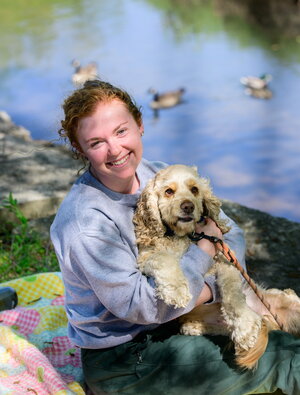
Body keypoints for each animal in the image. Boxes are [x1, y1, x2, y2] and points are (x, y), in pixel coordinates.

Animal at [133, 166, 300, 370]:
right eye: (168, 191)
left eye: (194, 189)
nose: (188, 206)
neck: (184, 236)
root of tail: (268, 317)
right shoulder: (146, 257)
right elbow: (164, 259)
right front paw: (176, 291)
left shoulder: (223, 260)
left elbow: (232, 293)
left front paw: (245, 328)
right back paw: (194, 327)